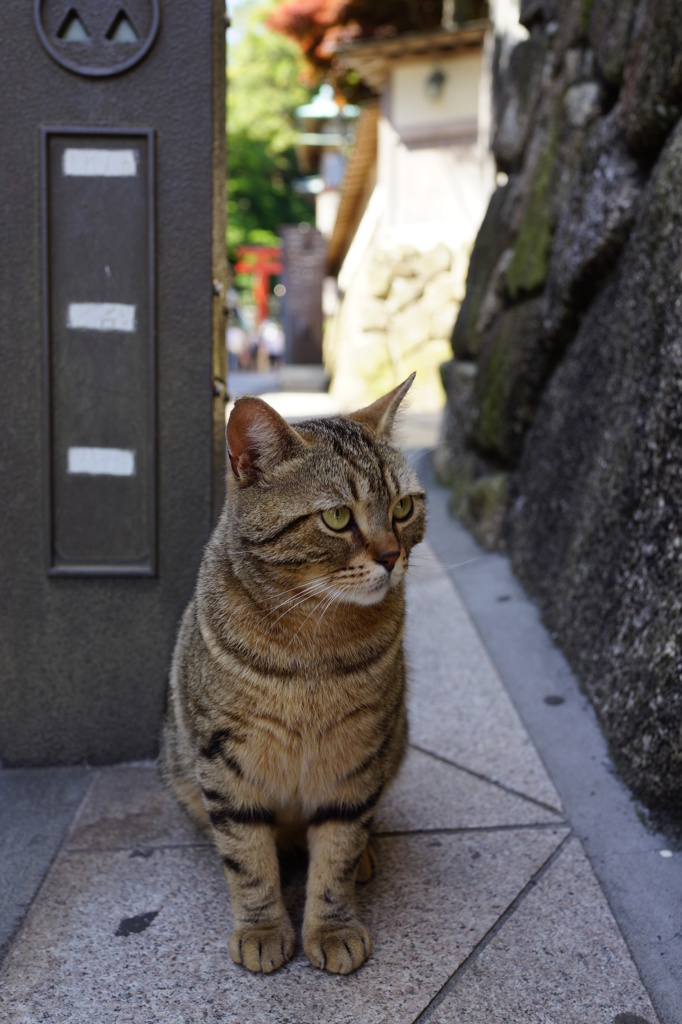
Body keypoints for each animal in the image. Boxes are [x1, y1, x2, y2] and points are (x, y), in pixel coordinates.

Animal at [159, 376, 425, 974]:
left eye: (403, 507)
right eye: (337, 518)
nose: (391, 555)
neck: (315, 643)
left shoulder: (358, 752)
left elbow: (337, 852)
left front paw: (331, 926)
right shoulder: (225, 759)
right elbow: (247, 857)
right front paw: (261, 926)